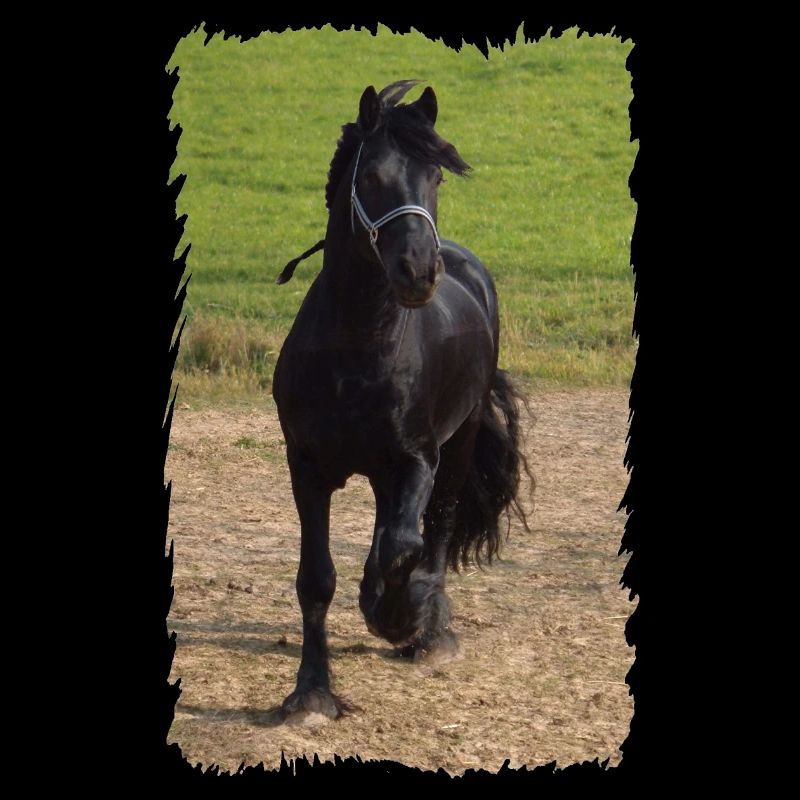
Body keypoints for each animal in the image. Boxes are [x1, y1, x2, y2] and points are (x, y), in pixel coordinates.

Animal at [272, 80, 532, 719]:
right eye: (372, 176)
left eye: (436, 177)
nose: (418, 272)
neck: (358, 346)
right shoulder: (306, 466)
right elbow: (317, 578)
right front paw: (312, 691)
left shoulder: (417, 457)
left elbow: (405, 544)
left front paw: (397, 617)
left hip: (457, 446)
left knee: (432, 531)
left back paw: (428, 632)